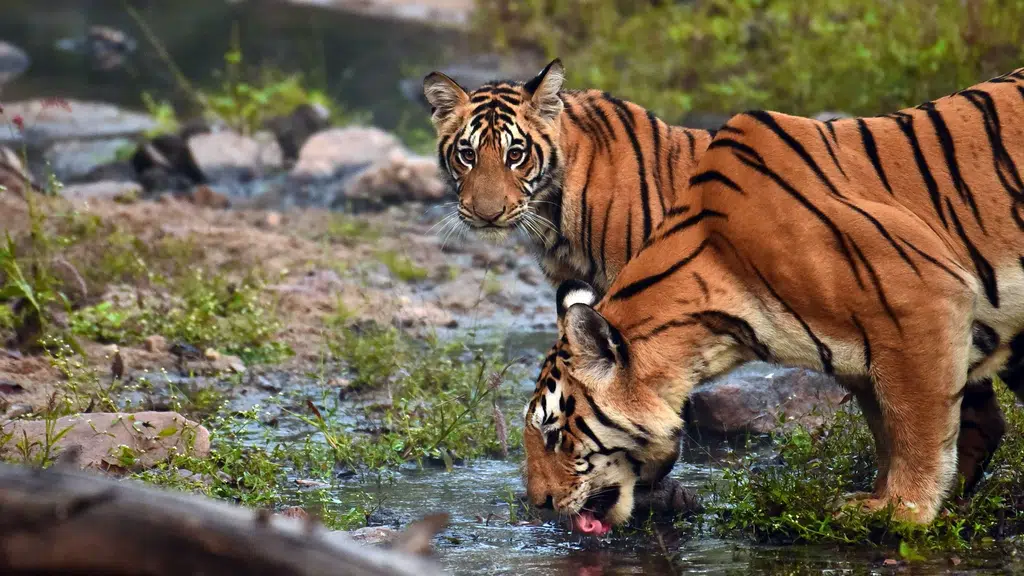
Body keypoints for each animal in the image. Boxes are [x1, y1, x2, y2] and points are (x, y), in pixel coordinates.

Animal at [522, 67, 1024, 535]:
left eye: (552, 434)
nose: (540, 503)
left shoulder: (921, 297)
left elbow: (917, 425)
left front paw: (904, 510)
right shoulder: (864, 356)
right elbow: (888, 427)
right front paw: (876, 499)